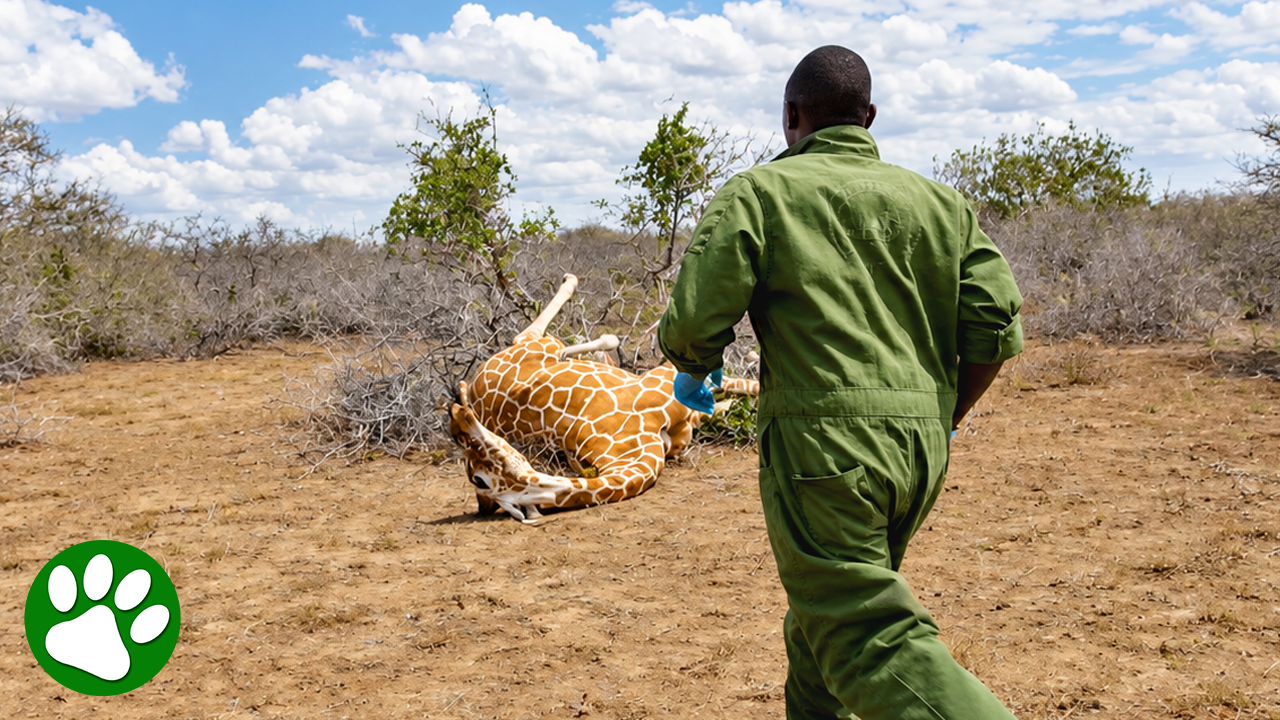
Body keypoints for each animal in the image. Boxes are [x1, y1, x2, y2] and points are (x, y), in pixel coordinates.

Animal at [449, 274, 758, 523]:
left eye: (477, 478)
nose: (457, 420)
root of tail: (475, 387)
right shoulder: (667, 376)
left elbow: (745, 386)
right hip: (537, 345)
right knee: (529, 334)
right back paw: (572, 292)